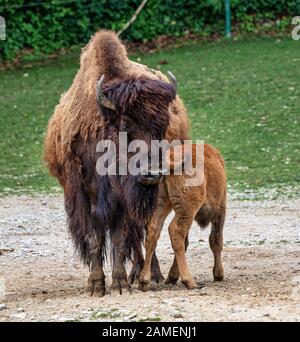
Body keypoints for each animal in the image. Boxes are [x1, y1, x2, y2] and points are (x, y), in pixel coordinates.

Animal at [44, 30, 190, 296]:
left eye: (163, 124)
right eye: (124, 124)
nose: (152, 172)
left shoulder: (122, 199)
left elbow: (121, 238)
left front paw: (120, 284)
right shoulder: (81, 195)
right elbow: (94, 237)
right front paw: (95, 285)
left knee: (147, 231)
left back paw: (151, 275)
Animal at [139, 143, 226, 290]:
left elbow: (187, 242)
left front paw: (172, 277)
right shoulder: (220, 210)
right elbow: (216, 240)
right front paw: (218, 275)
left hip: (162, 203)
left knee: (153, 231)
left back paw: (143, 281)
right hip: (187, 209)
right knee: (175, 231)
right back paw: (189, 281)